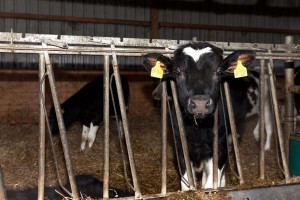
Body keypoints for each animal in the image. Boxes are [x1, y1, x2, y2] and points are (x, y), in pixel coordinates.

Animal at [143, 41, 255, 189]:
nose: (200, 103)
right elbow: (187, 184)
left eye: (218, 71)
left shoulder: (220, 145)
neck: (198, 129)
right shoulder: (180, 145)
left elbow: (210, 183)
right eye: (177, 71)